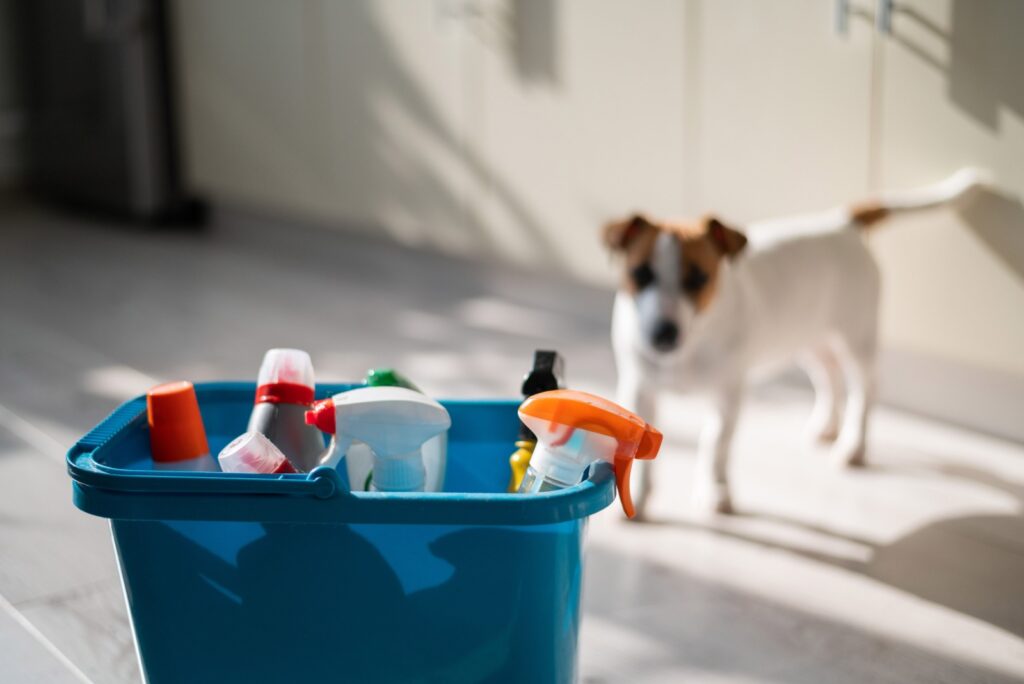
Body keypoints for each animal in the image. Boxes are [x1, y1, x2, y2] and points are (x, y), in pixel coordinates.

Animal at [606, 167, 991, 516]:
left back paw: (854, 446)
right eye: (641, 274)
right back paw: (827, 427)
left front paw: (715, 490)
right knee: (830, 378)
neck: (691, 344)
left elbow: (715, 445)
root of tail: (843, 222)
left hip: (857, 338)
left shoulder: (728, 396)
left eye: (698, 278)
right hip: (810, 339)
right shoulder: (640, 390)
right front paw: (637, 497)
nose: (663, 333)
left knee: (865, 389)